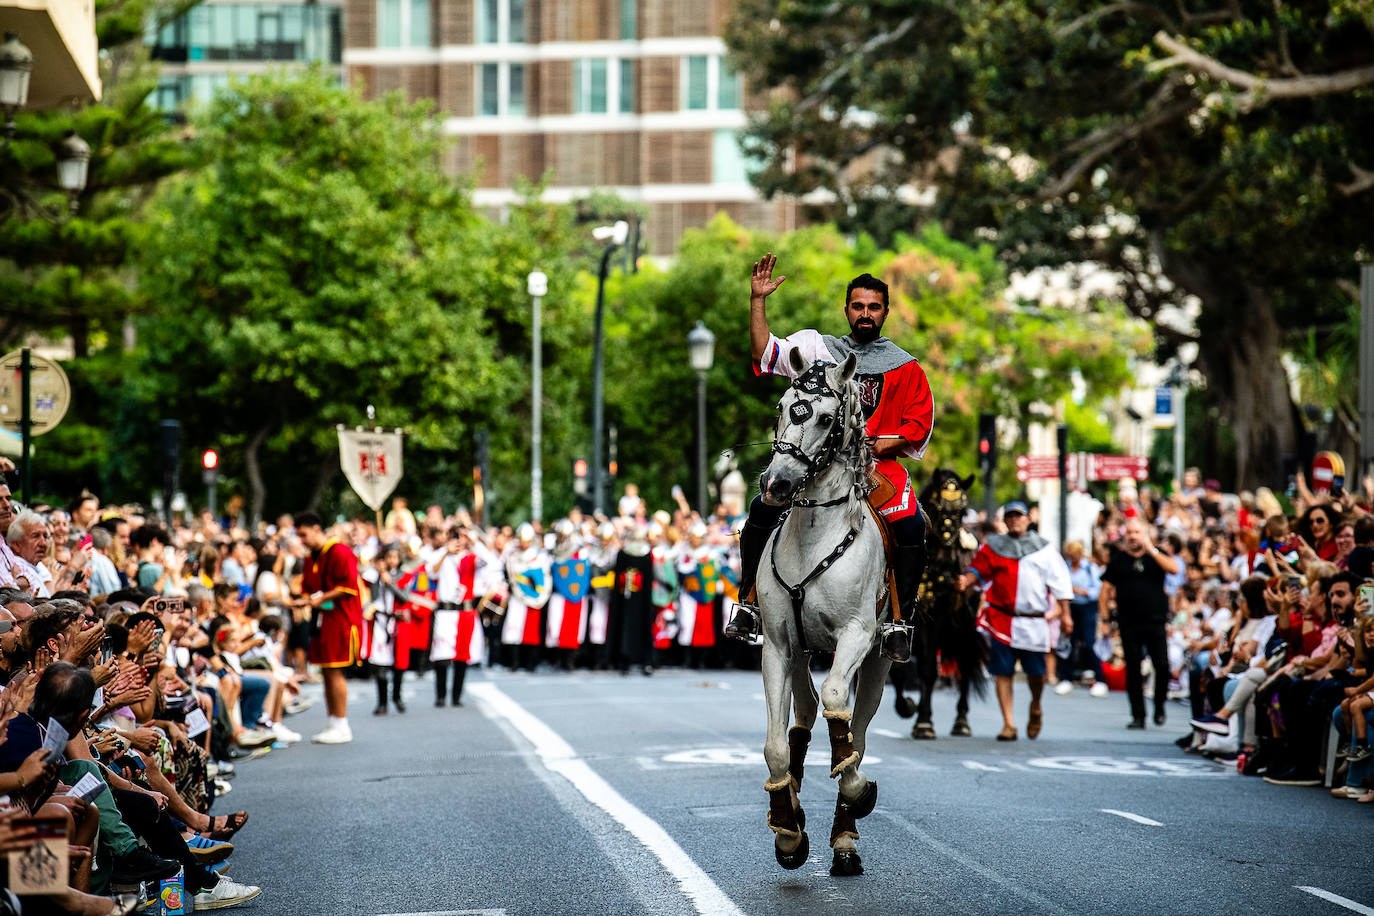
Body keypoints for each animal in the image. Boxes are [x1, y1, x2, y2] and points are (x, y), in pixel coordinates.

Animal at [890, 469, 989, 741]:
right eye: (937, 507)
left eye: (962, 511)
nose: (948, 571)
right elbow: (899, 666)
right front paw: (907, 708)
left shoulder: (938, 614)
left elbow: (927, 669)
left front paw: (923, 722)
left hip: (966, 624)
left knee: (965, 663)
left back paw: (961, 720)